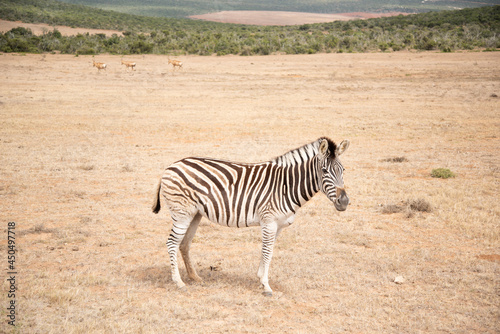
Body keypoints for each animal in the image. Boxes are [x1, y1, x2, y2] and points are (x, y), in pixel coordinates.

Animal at [150, 137, 350, 296]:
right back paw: (179, 282)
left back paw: (194, 277)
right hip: (181, 213)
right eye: (324, 171)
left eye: (343, 170)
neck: (286, 186)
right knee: (172, 243)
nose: (344, 201)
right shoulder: (269, 222)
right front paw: (266, 286)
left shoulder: (278, 225)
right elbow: (267, 252)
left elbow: (268, 252)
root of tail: (172, 165)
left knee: (184, 244)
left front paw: (261, 279)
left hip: (195, 214)